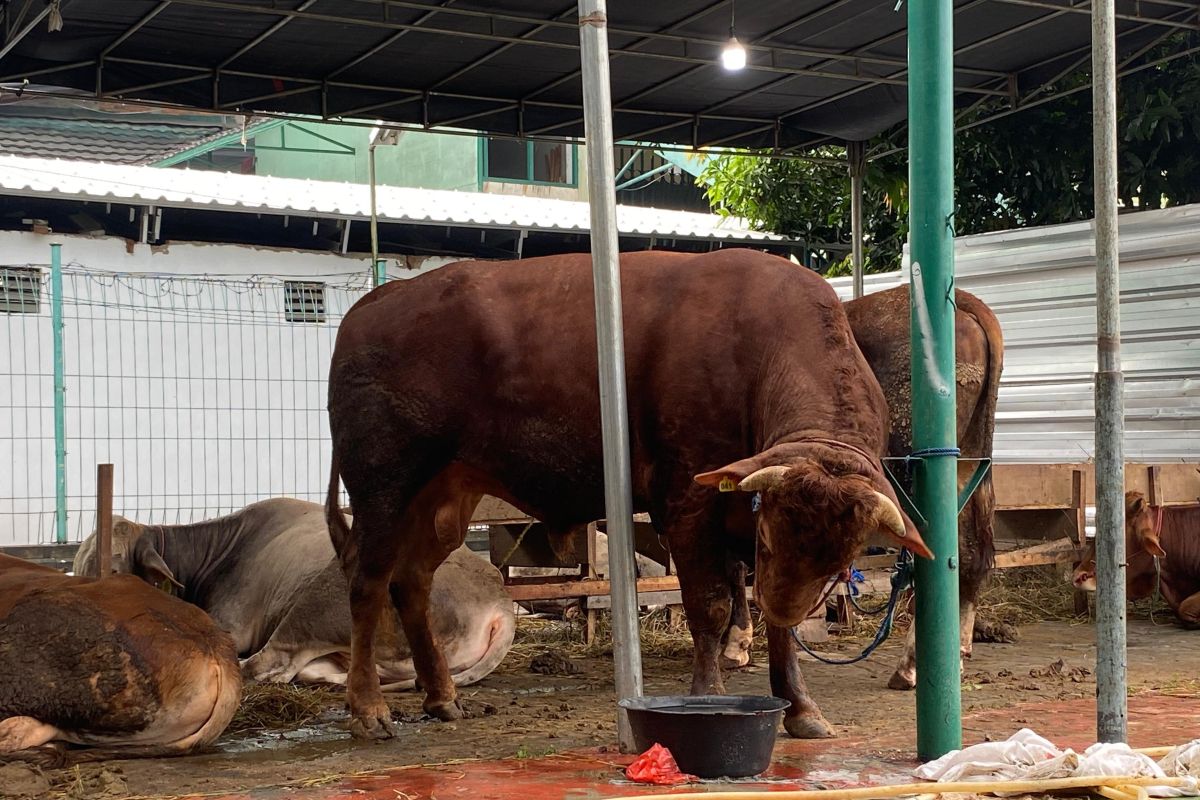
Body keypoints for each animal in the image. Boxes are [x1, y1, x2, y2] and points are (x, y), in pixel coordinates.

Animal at [324, 247, 931, 743]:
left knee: (411, 582)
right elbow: (710, 606)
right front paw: (708, 698)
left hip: (443, 494)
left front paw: (800, 708)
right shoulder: (687, 504)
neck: (760, 349)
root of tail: (373, 303)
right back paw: (368, 709)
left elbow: (777, 626)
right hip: (383, 485)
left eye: (841, 558)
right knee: (366, 582)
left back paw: (442, 697)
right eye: (768, 534)